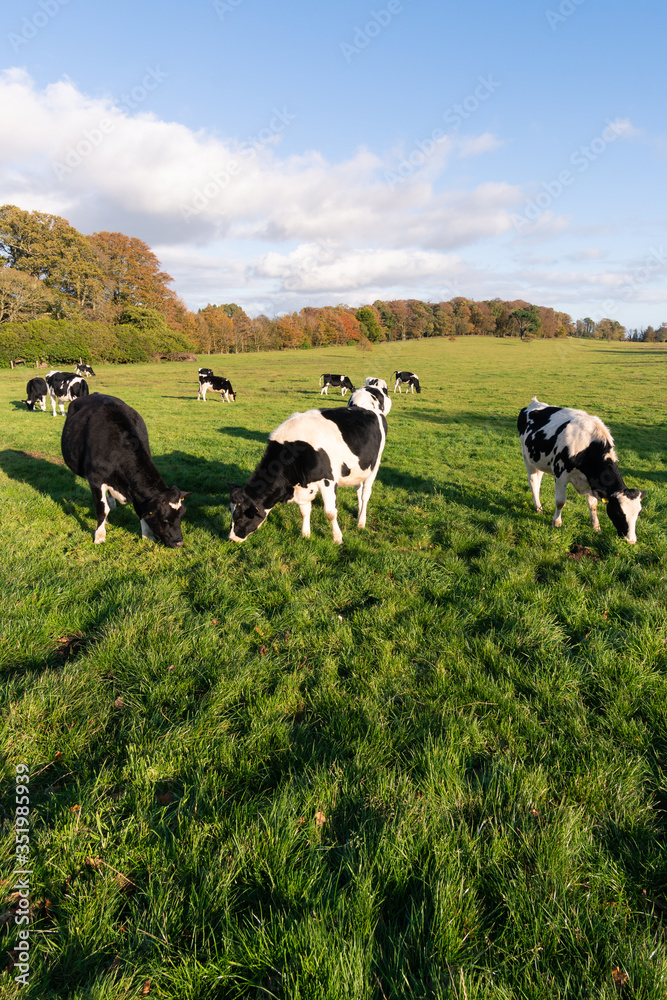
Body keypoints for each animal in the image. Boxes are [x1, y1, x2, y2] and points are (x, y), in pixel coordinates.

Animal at [61, 392, 192, 548]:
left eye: (181, 517)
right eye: (164, 519)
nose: (179, 543)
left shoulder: (134, 488)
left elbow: (140, 509)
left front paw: (147, 535)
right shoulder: (96, 479)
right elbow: (101, 510)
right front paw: (99, 536)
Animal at [230, 388, 392, 548]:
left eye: (241, 517)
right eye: (230, 513)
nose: (231, 539)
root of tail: (366, 407)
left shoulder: (328, 480)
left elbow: (330, 512)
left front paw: (337, 538)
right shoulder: (302, 487)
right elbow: (304, 511)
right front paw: (305, 535)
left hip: (375, 466)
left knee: (365, 494)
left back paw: (361, 521)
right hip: (357, 470)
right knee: (358, 489)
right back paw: (358, 513)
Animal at [516, 394, 648, 544]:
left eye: (638, 513)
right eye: (618, 513)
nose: (631, 540)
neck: (588, 446)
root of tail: (534, 403)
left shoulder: (592, 481)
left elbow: (593, 505)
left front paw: (596, 526)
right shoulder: (560, 474)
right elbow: (560, 501)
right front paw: (557, 522)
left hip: (540, 460)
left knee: (538, 482)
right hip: (527, 457)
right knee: (533, 482)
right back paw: (538, 507)